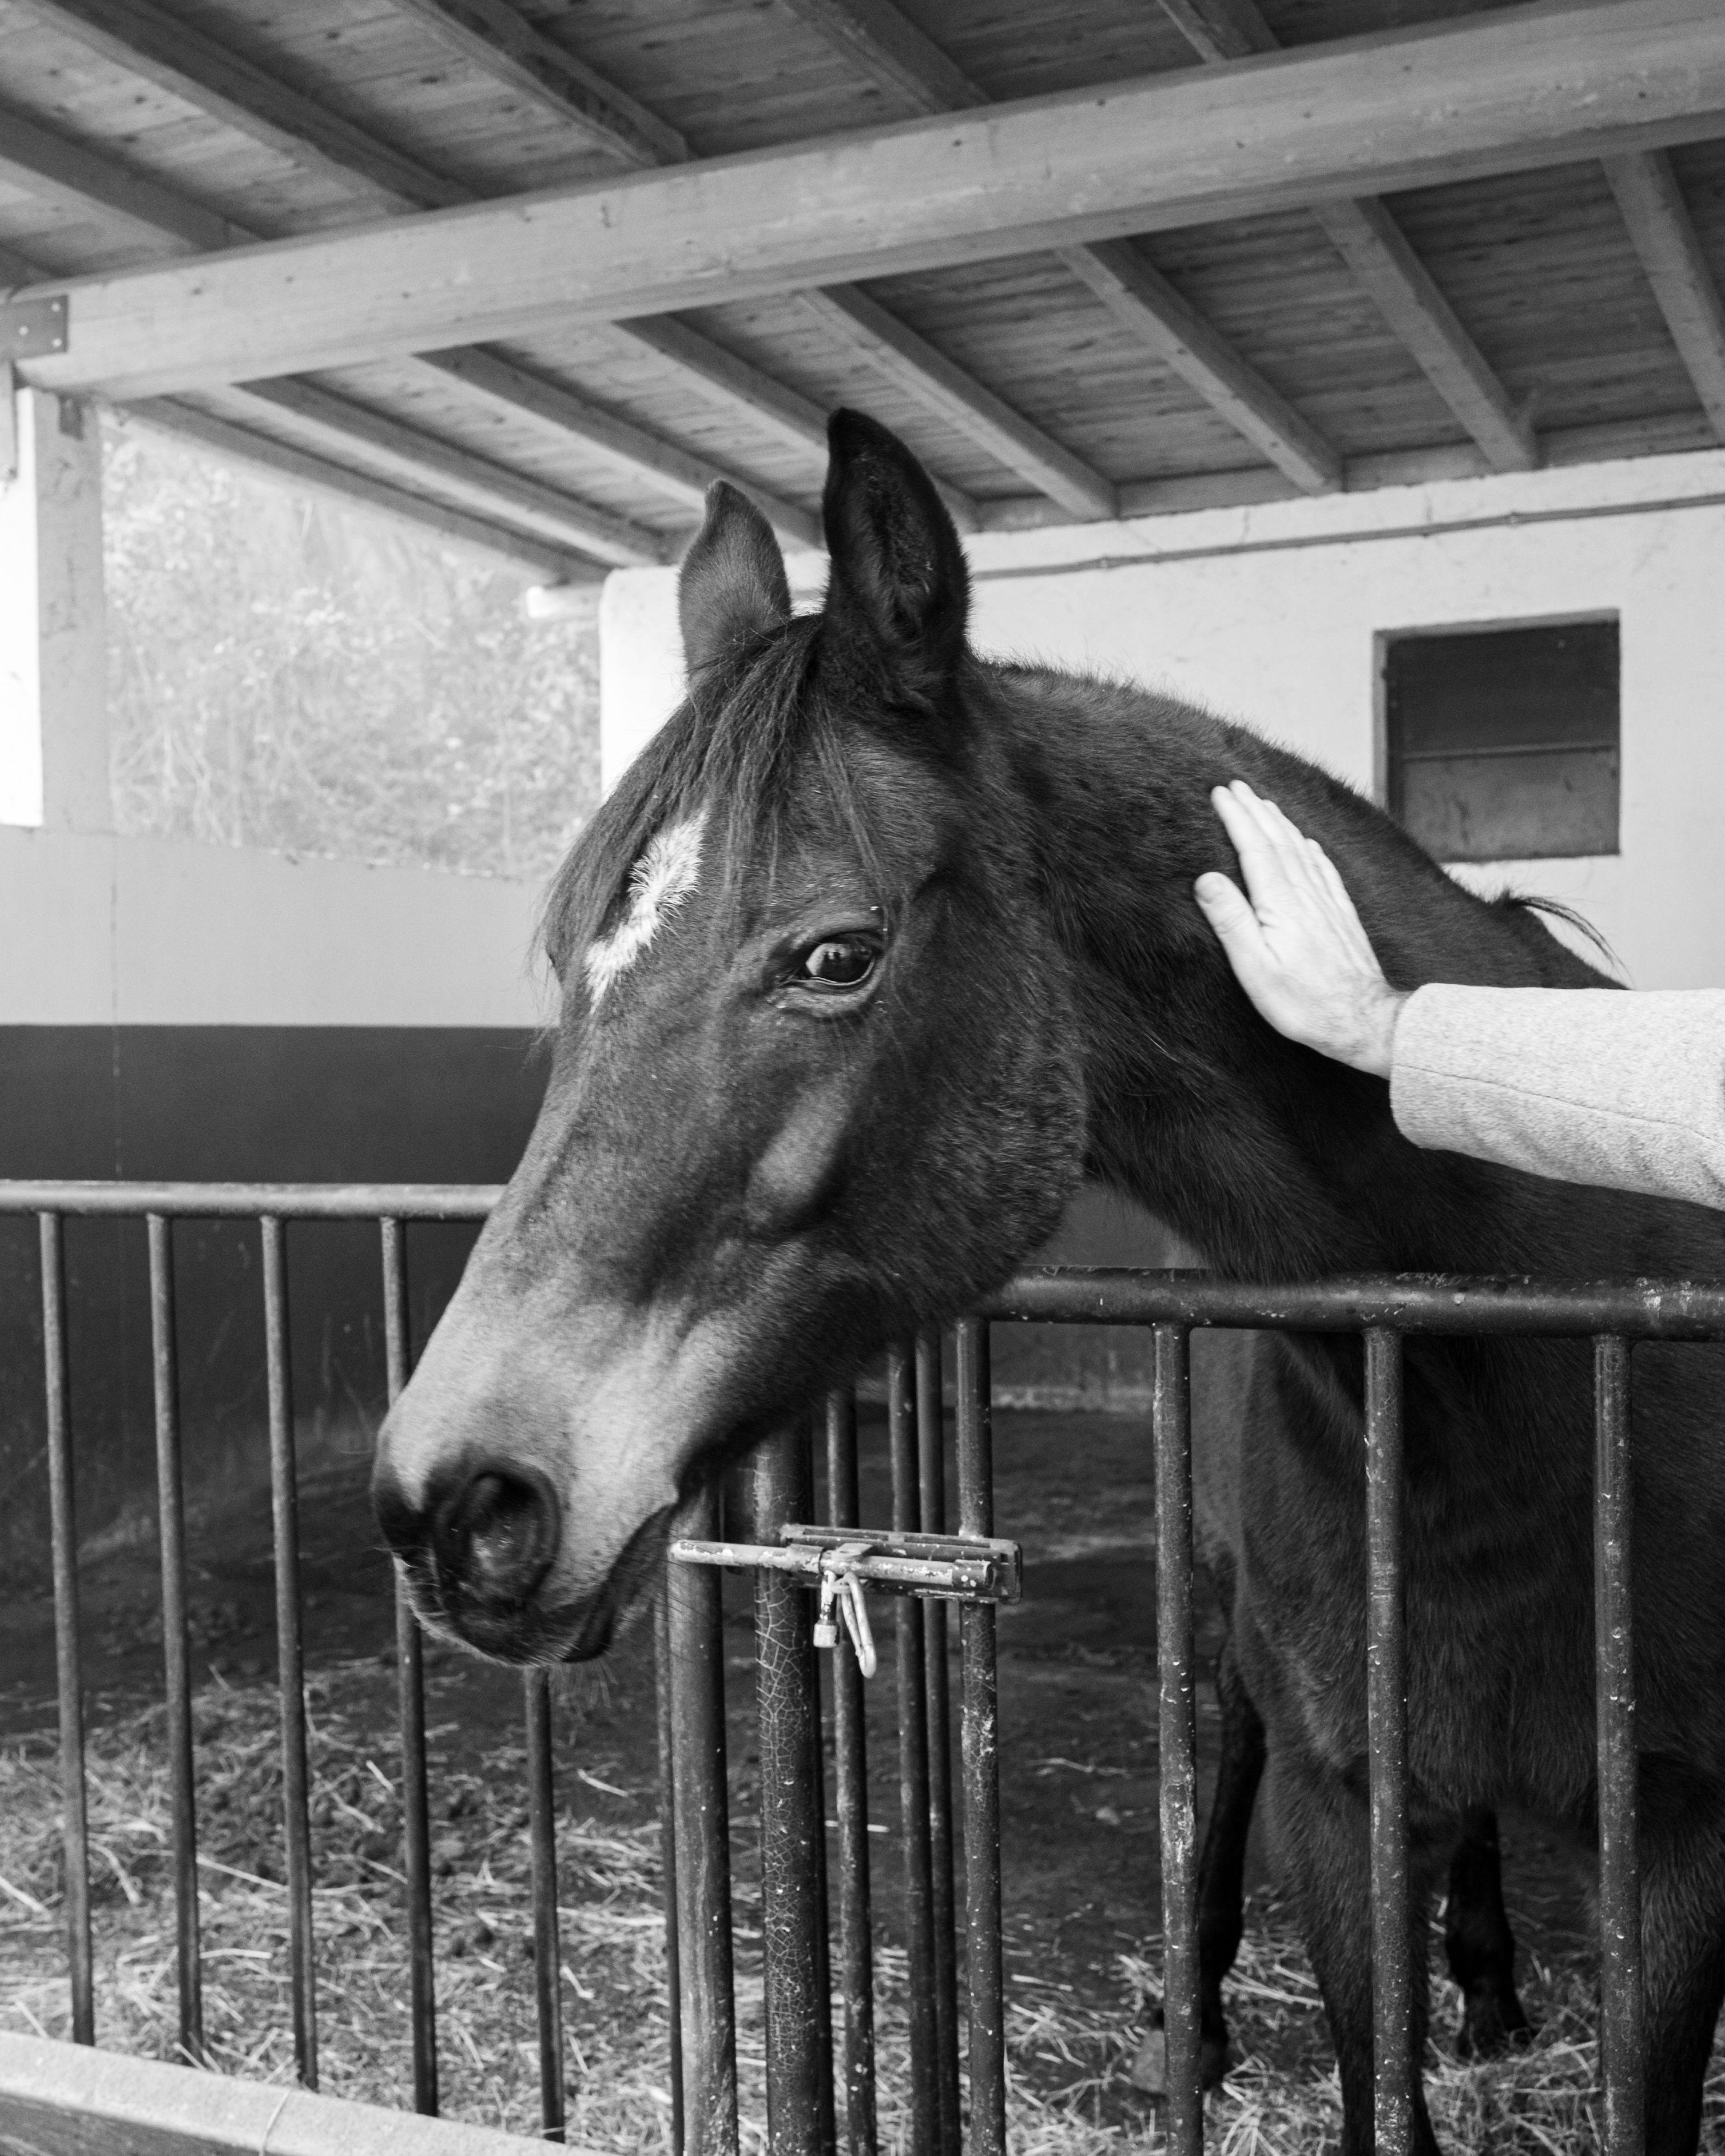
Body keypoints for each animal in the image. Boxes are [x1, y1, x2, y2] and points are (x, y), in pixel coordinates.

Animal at [373, 409, 1725, 2155]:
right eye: (568, 967)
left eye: (835, 952)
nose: (453, 1499)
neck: (1516, 1382)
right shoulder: (1342, 1798)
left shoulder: (1688, 1843)